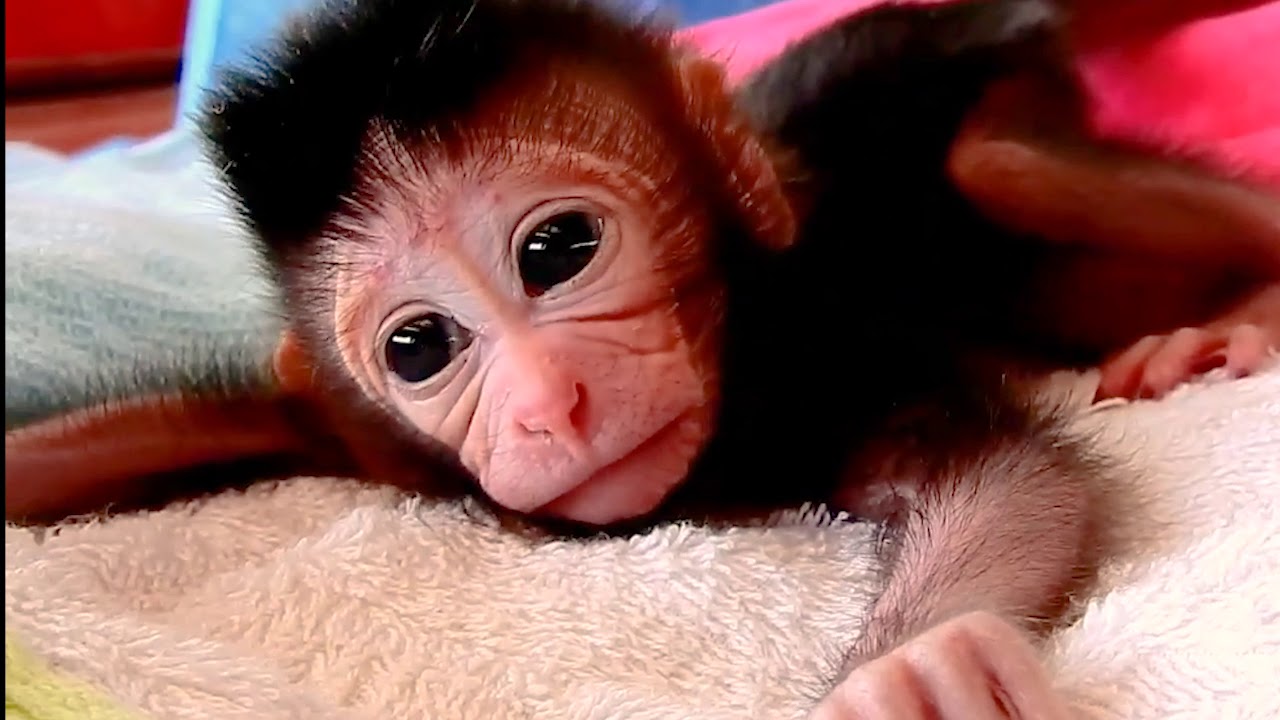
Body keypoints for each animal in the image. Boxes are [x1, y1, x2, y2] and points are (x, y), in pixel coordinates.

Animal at [4, 0, 1277, 716]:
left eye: (556, 250)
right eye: (418, 346)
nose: (545, 404)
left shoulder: (820, 364)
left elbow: (1007, 483)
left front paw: (905, 672)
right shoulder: (355, 432)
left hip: (987, 77)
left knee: (1000, 162)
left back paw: (1242, 311)